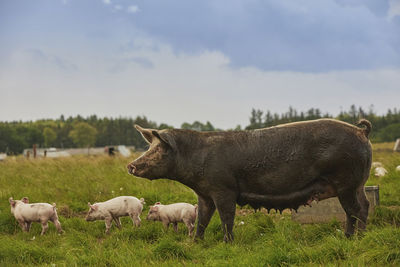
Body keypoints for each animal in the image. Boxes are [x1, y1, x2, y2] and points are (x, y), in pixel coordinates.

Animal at [127, 119, 372, 241]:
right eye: (149, 147)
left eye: (158, 149)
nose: (130, 165)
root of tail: (362, 132)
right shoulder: (204, 193)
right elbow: (203, 219)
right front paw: (195, 242)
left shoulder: (224, 189)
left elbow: (226, 217)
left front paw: (228, 243)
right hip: (357, 184)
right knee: (363, 206)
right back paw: (352, 237)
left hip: (346, 182)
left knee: (355, 210)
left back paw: (355, 238)